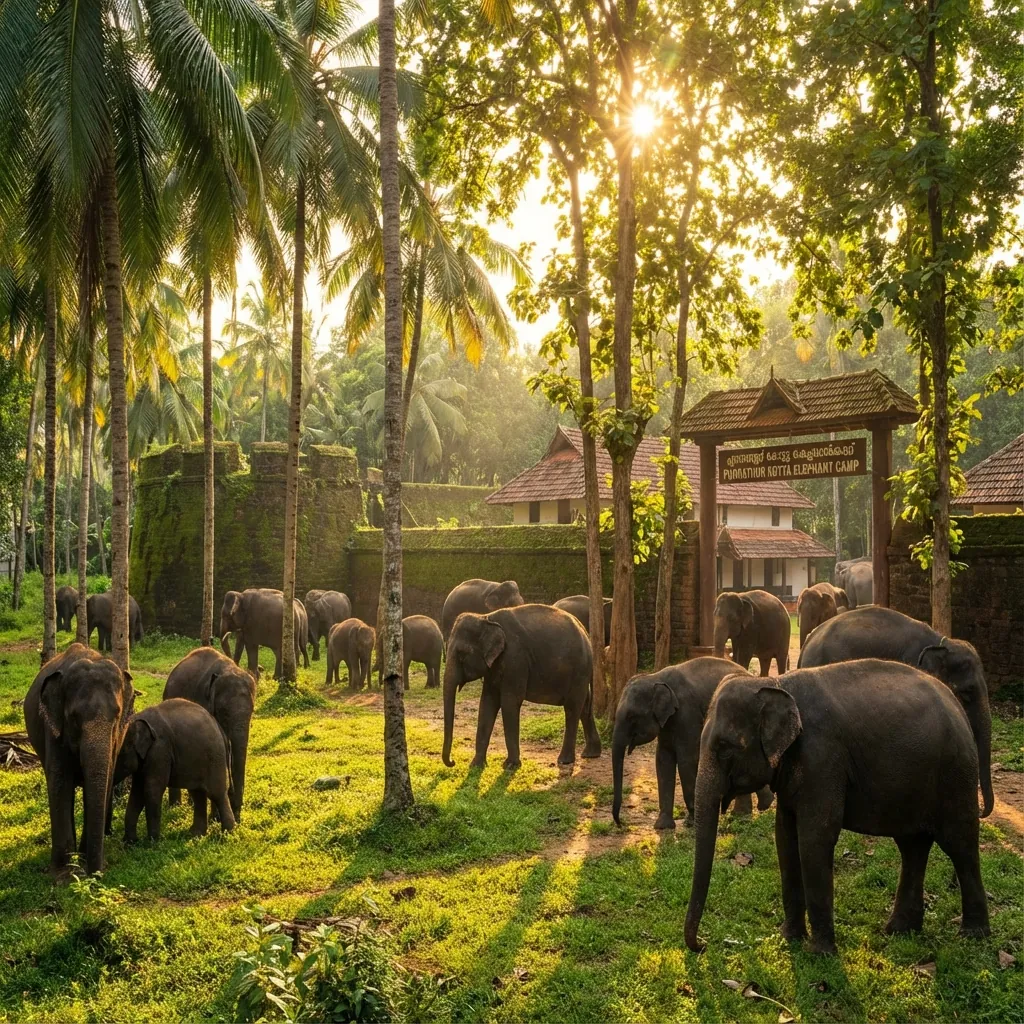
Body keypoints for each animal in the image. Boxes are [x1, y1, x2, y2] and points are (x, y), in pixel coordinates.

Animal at [23, 643, 135, 874]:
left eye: (117, 717)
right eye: (74, 718)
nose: (97, 874)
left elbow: (106, 778)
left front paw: (82, 862)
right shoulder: (52, 729)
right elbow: (59, 782)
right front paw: (63, 874)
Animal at [114, 699, 235, 842]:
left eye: (118, 754)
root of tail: (221, 730)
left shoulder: (160, 750)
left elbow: (152, 790)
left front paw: (152, 842)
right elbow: (137, 792)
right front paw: (130, 842)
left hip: (215, 757)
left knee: (217, 793)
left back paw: (227, 835)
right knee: (197, 793)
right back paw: (195, 834)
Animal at [442, 604, 602, 770]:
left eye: (462, 654)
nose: (452, 762)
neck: (486, 617)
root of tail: (585, 632)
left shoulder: (515, 659)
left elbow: (509, 702)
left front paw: (510, 766)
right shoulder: (494, 667)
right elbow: (487, 702)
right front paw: (476, 766)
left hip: (579, 670)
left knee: (572, 708)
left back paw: (565, 760)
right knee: (584, 707)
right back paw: (590, 754)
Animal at [611, 658, 773, 829]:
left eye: (631, 716)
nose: (620, 824)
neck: (656, 677)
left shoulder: (687, 714)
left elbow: (687, 760)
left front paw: (692, 821)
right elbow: (663, 759)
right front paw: (663, 826)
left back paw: (754, 810)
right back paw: (747, 813)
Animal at [684, 661, 989, 955]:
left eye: (724, 747)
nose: (703, 944)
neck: (775, 683)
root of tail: (957, 706)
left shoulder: (822, 758)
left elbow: (815, 838)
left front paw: (820, 954)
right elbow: (785, 837)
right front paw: (789, 938)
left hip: (956, 773)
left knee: (959, 843)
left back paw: (972, 936)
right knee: (913, 846)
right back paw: (899, 930)